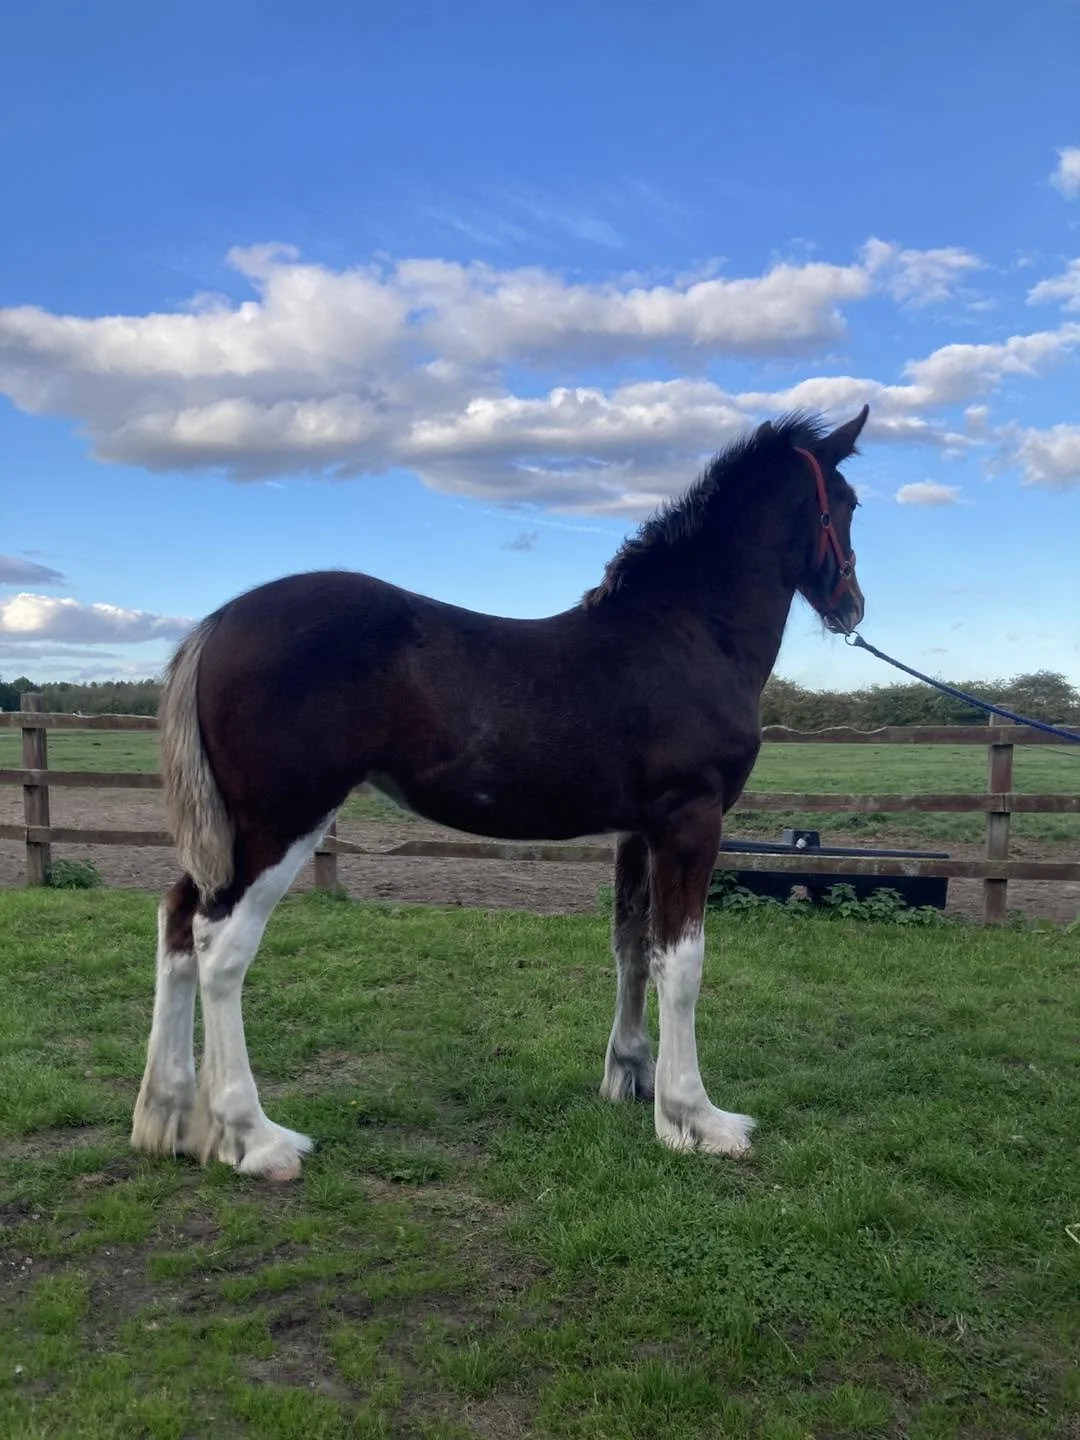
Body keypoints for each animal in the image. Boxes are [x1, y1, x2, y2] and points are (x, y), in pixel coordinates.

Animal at [131, 405, 868, 1182]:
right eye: (847, 503)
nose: (851, 606)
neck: (687, 634)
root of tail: (221, 623)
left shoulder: (636, 831)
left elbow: (632, 946)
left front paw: (631, 1078)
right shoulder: (689, 824)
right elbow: (682, 962)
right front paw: (694, 1118)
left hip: (230, 835)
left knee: (178, 921)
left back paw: (171, 1119)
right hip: (282, 822)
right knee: (221, 946)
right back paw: (255, 1137)